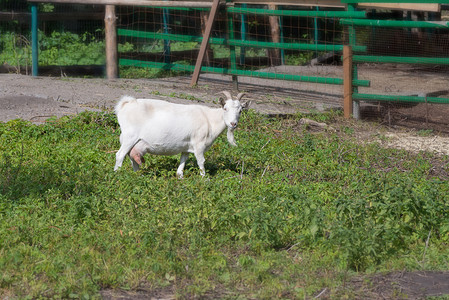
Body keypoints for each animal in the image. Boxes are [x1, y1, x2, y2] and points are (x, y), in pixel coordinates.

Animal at [113, 90, 248, 177]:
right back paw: (118, 174)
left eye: (240, 111)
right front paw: (204, 179)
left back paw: (138, 175)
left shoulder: (186, 146)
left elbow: (183, 160)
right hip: (129, 137)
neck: (209, 119)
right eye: (225, 108)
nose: (233, 124)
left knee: (132, 156)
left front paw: (180, 176)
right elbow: (201, 161)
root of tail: (127, 104)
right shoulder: (199, 144)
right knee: (120, 155)